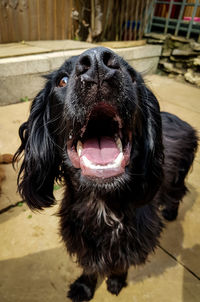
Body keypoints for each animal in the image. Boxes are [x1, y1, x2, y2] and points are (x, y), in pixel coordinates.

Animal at [14, 46, 198, 300]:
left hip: (175, 179)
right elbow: (90, 265)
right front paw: (84, 286)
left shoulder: (134, 239)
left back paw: (170, 212)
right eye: (62, 80)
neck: (102, 203)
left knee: (177, 194)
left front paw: (116, 280)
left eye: (132, 77)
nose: (97, 63)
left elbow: (121, 262)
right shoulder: (82, 238)